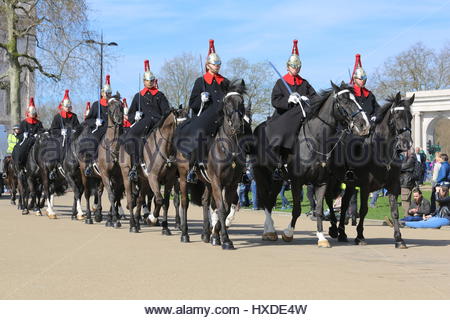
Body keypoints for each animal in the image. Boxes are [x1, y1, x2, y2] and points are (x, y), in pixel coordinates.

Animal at [174, 78, 250, 248]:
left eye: (241, 102)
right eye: (226, 102)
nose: (237, 125)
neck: (229, 146)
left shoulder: (231, 183)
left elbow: (225, 208)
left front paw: (217, 235)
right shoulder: (217, 180)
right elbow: (220, 208)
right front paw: (226, 240)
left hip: (206, 182)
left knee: (204, 201)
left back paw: (205, 234)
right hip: (183, 178)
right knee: (184, 202)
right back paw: (184, 234)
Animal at [253, 81, 372, 249]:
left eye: (357, 99)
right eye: (344, 101)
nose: (364, 125)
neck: (316, 140)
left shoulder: (322, 182)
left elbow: (319, 210)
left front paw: (322, 237)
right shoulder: (296, 182)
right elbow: (296, 209)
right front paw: (288, 233)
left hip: (277, 180)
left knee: (269, 202)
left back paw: (269, 231)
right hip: (261, 175)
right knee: (265, 201)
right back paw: (269, 230)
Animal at [326, 91, 414, 249]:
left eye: (410, 117)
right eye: (397, 116)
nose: (406, 143)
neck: (381, 150)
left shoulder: (393, 185)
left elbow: (394, 211)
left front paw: (399, 239)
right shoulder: (365, 186)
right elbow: (363, 210)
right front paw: (360, 236)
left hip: (349, 184)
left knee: (344, 204)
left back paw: (342, 233)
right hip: (331, 180)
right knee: (329, 199)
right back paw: (334, 229)